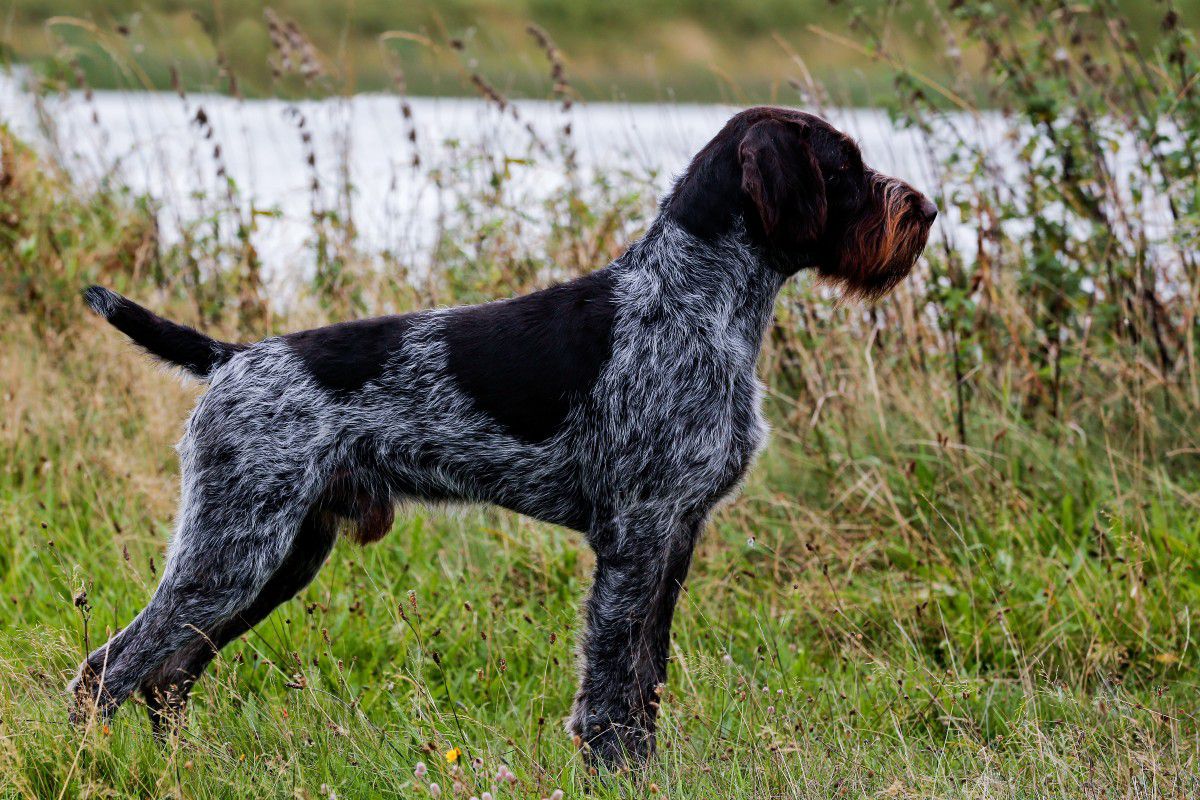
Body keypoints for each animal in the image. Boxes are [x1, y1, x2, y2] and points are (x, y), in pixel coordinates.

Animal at [70, 104, 936, 762]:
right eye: (844, 165)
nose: (926, 210)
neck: (698, 299)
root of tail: (233, 356)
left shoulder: (678, 534)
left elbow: (647, 675)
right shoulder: (637, 532)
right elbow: (614, 678)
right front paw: (615, 769)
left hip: (279, 555)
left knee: (167, 673)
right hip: (232, 552)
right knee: (109, 671)